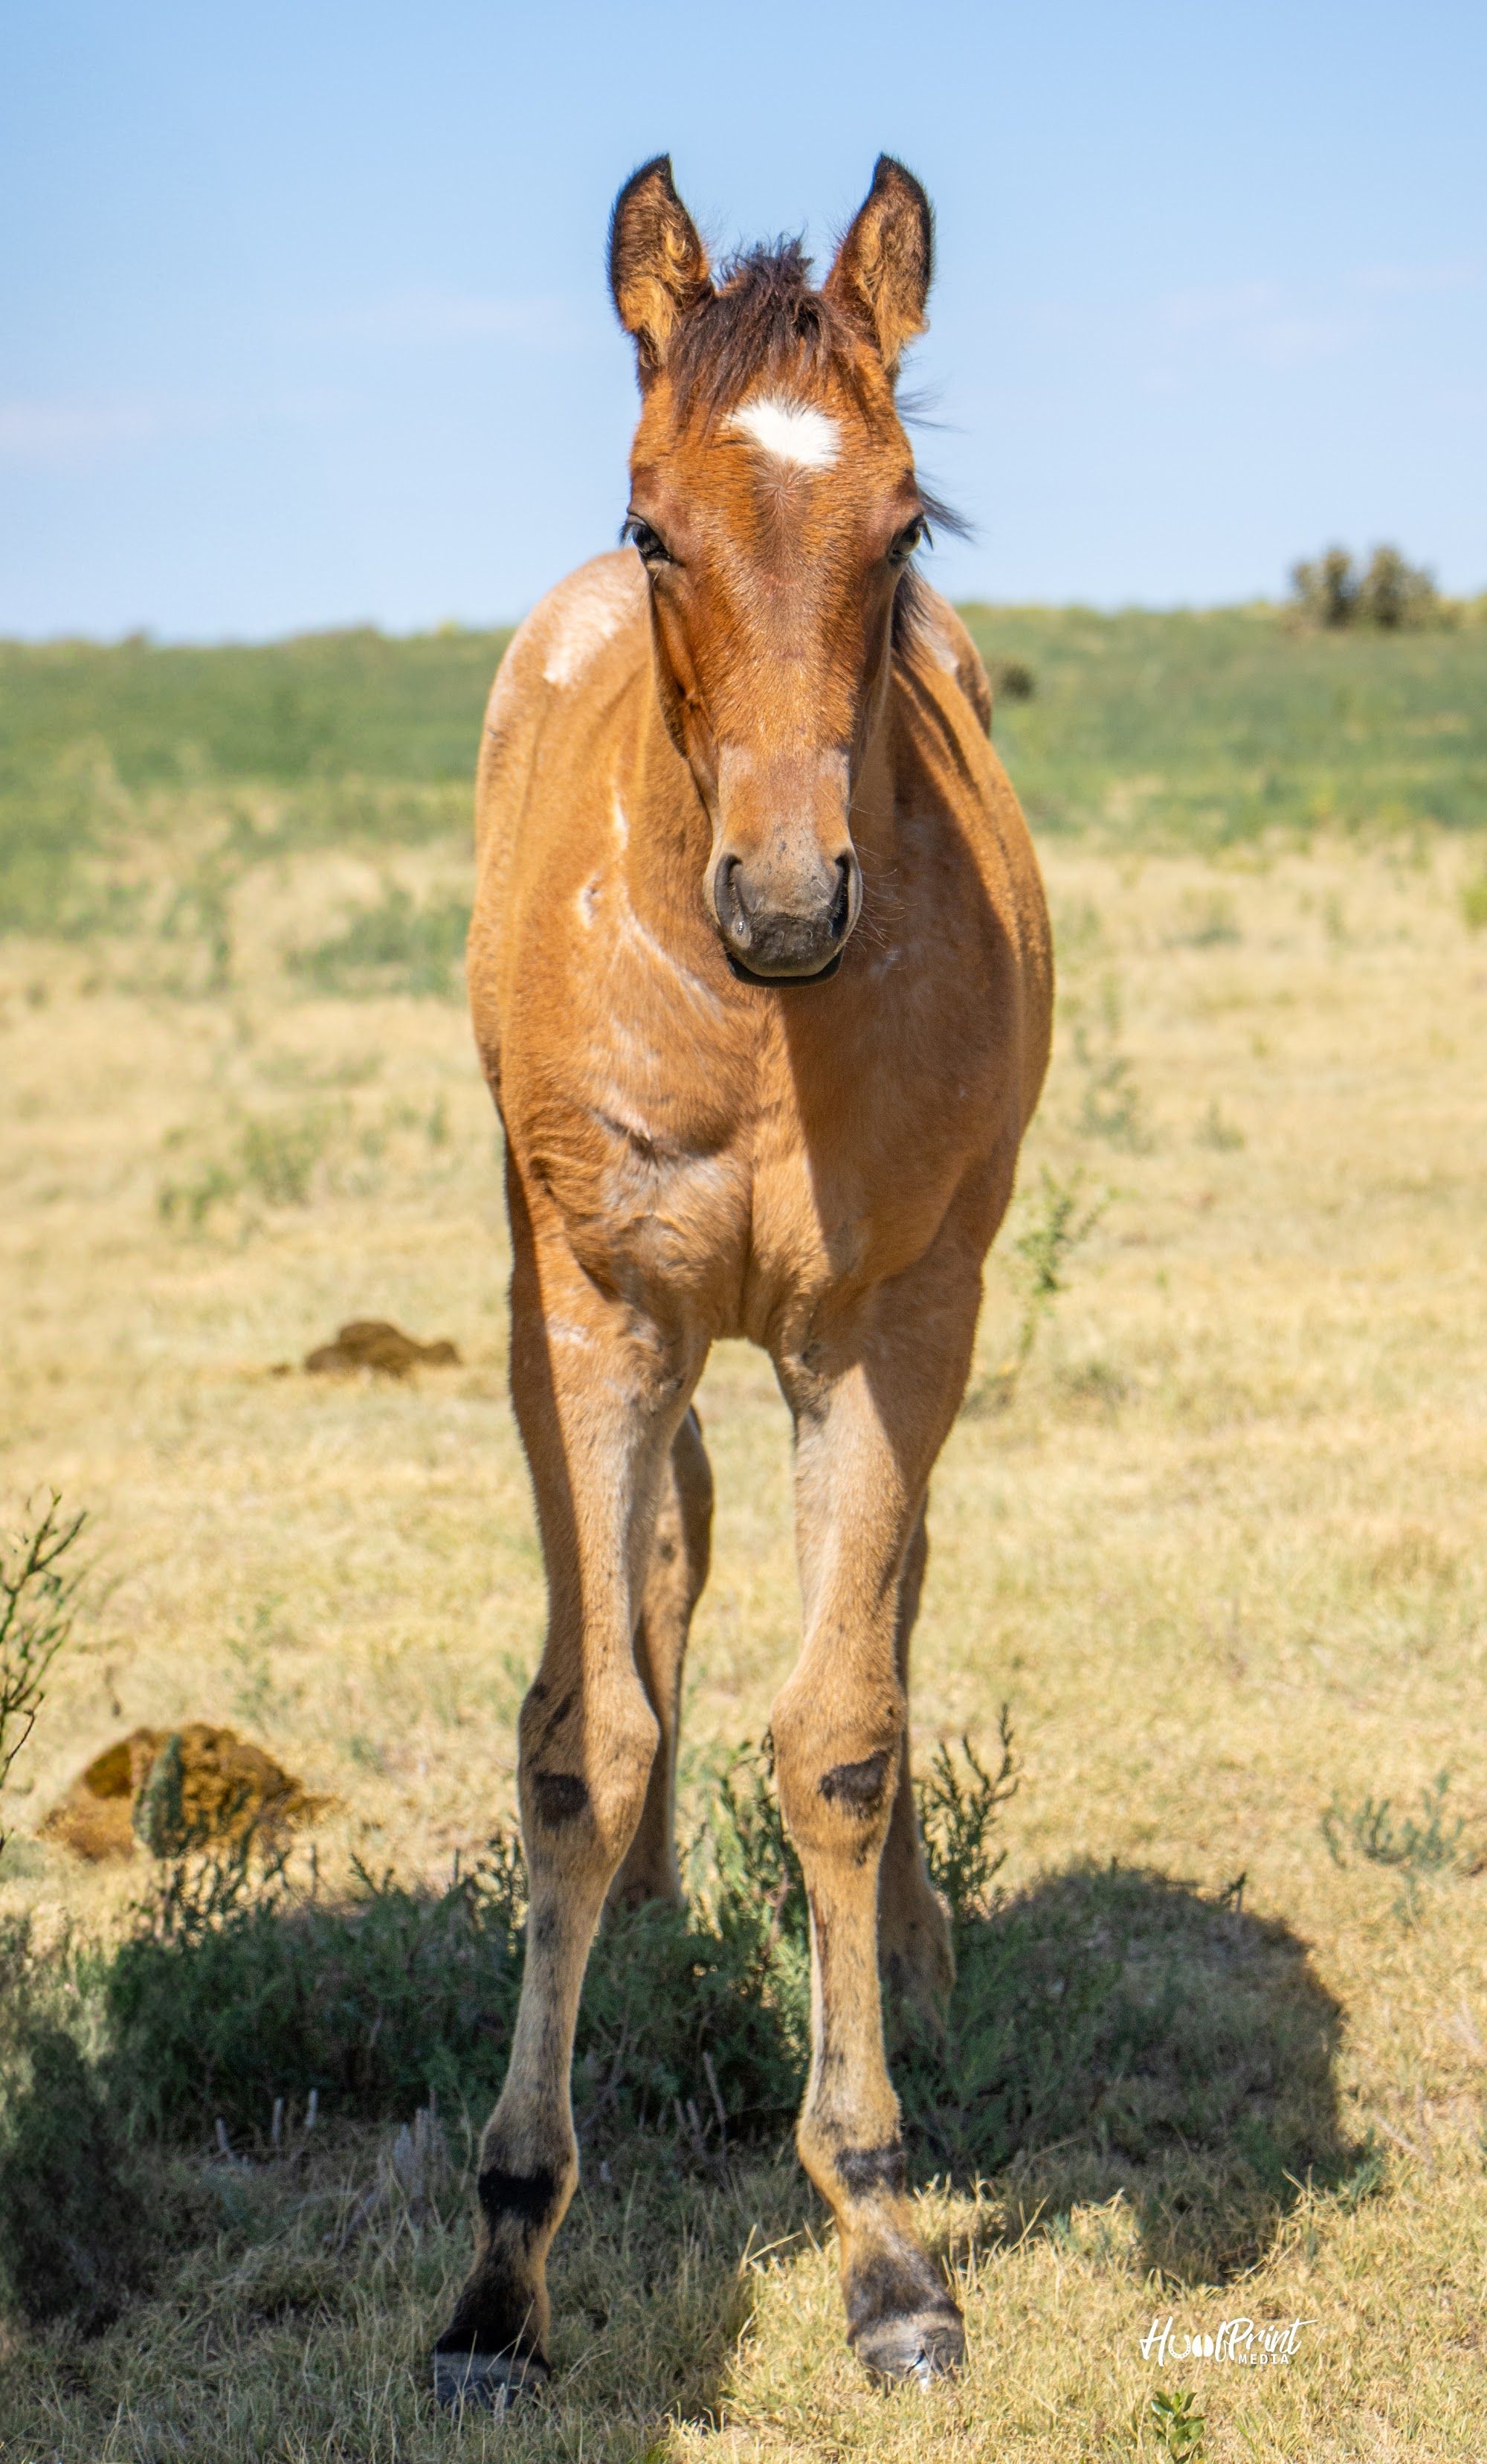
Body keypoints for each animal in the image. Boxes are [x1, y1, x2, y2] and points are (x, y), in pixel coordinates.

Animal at [434, 153, 1052, 2408]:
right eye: (651, 524)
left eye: (903, 528)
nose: (789, 905)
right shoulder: (591, 1317)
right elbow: (577, 1737)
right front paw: (503, 2265)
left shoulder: (883, 1333)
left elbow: (841, 1732)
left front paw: (883, 2238)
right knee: (661, 1581)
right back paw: (652, 1908)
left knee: (885, 1596)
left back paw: (917, 1951)